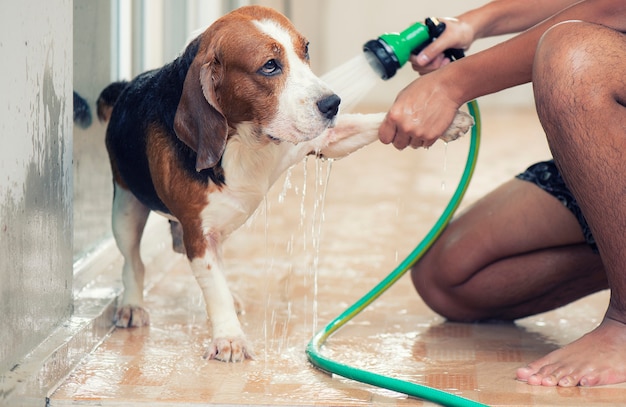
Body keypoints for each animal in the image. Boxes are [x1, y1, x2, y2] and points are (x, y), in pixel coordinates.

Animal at [96, 4, 468, 364]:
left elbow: (367, 123)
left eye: (306, 51)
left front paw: (439, 116)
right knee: (134, 261)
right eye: (270, 66)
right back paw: (131, 304)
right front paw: (229, 338)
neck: (246, 139)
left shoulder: (322, 142)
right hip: (125, 209)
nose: (333, 103)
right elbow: (211, 285)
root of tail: (125, 87)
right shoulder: (199, 233)